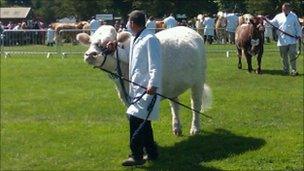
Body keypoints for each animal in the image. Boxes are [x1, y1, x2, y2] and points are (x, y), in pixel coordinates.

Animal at [76, 25, 211, 135]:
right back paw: (177, 128)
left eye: (108, 42)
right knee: (175, 105)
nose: (90, 54)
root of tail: (189, 29)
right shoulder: (126, 99)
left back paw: (195, 128)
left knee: (196, 104)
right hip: (173, 86)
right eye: (90, 42)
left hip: (199, 80)